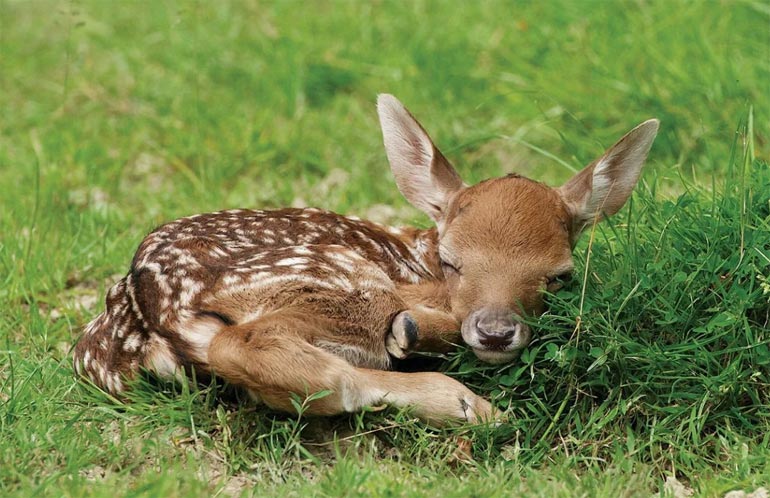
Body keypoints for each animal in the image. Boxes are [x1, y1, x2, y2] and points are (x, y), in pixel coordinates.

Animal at [72, 96, 656, 424]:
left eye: (560, 275)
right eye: (453, 262)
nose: (494, 331)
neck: (419, 253)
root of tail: (158, 309)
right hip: (335, 277)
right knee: (262, 350)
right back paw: (469, 402)